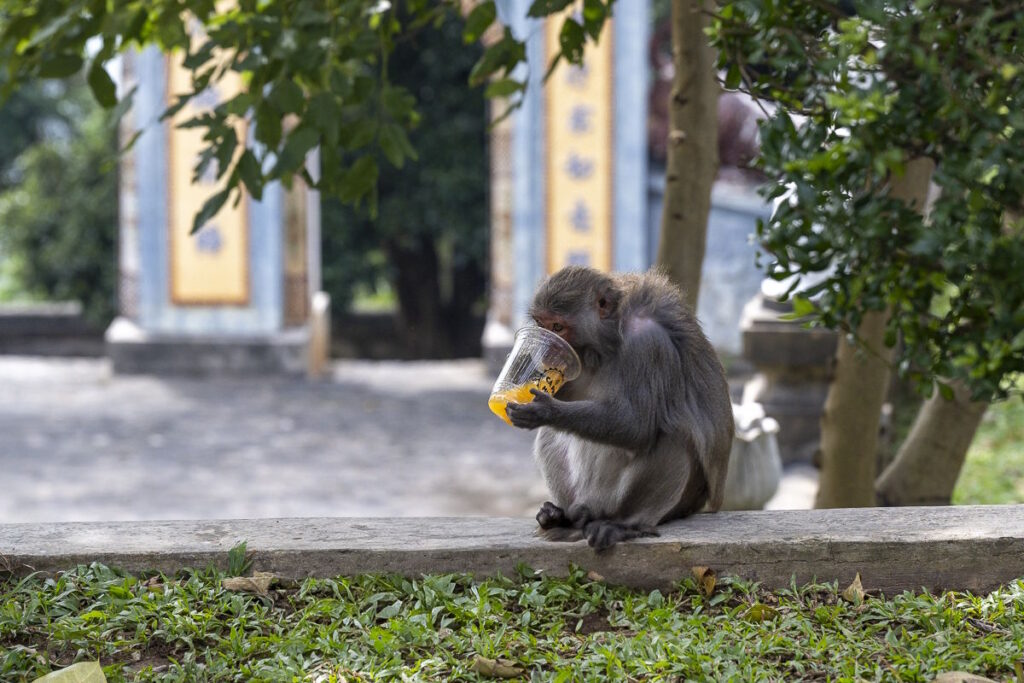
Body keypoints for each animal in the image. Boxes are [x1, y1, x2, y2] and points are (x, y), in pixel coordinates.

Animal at [505, 266, 734, 551]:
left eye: (558, 327)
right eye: (541, 324)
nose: (546, 353)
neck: (610, 338)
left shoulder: (648, 344)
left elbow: (636, 427)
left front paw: (545, 411)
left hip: (656, 503)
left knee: (672, 437)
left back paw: (626, 525)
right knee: (551, 434)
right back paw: (564, 519)